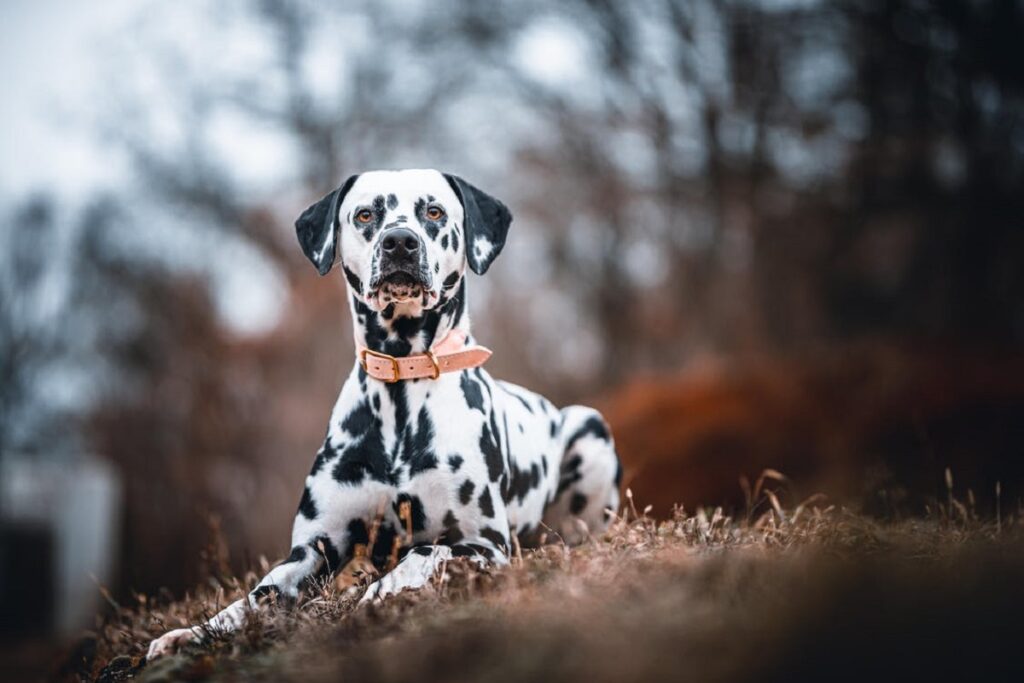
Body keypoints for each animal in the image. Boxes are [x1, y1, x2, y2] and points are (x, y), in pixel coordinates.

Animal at [147, 167, 618, 659]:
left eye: (434, 211)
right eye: (365, 214)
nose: (399, 242)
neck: (401, 387)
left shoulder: (484, 543)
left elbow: (422, 553)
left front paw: (379, 594)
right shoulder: (313, 548)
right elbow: (257, 596)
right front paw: (193, 633)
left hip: (589, 428)